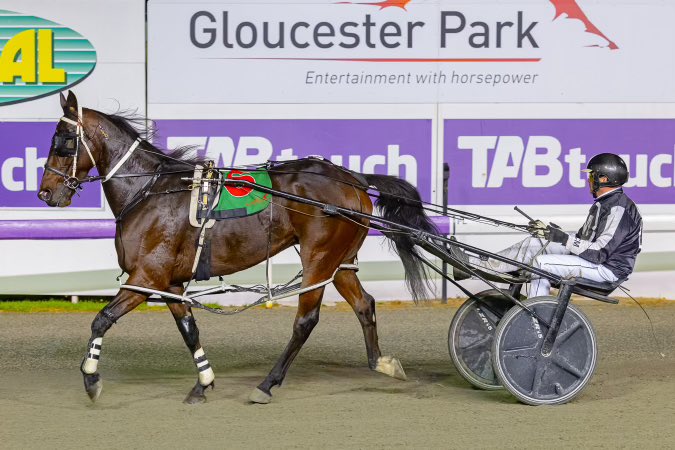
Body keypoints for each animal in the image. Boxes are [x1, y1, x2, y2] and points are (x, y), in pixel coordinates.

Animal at [39, 91, 438, 404]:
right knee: (364, 304)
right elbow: (189, 330)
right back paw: (381, 362)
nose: (45, 193)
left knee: (306, 320)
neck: (149, 191)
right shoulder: (169, 282)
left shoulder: (146, 277)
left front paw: (91, 378)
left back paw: (267, 384)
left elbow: (102, 319)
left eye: (64, 140)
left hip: (319, 259)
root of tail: (353, 178)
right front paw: (203, 383)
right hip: (340, 261)